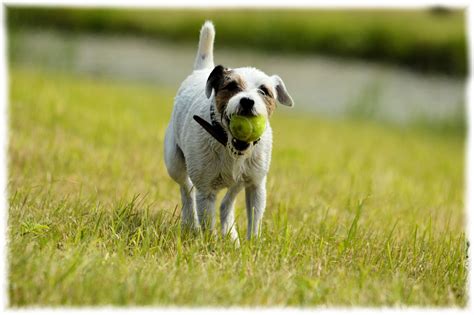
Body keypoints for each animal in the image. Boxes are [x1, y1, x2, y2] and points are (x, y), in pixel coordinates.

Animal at [165, 21, 294, 242]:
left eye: (264, 91)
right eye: (231, 86)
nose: (247, 101)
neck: (228, 143)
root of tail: (203, 70)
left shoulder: (256, 185)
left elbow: (254, 221)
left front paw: (252, 245)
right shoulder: (205, 191)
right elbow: (207, 221)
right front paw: (209, 243)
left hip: (240, 180)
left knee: (227, 203)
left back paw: (231, 236)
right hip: (174, 163)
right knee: (186, 190)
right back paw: (190, 223)